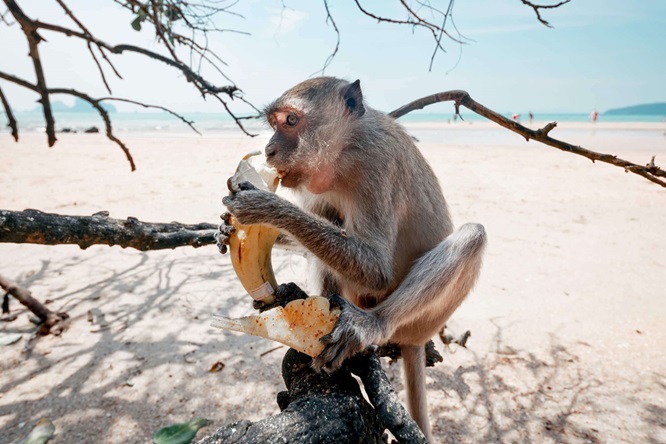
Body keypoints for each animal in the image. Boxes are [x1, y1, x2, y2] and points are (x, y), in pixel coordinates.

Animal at [218, 76, 482, 440]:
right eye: (273, 124)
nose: (269, 150)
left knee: (473, 235)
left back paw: (369, 325)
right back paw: (301, 298)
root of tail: (418, 340)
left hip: (420, 320)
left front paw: (268, 208)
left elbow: (377, 270)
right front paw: (222, 230)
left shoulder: (376, 164)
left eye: (290, 121)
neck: (344, 151)